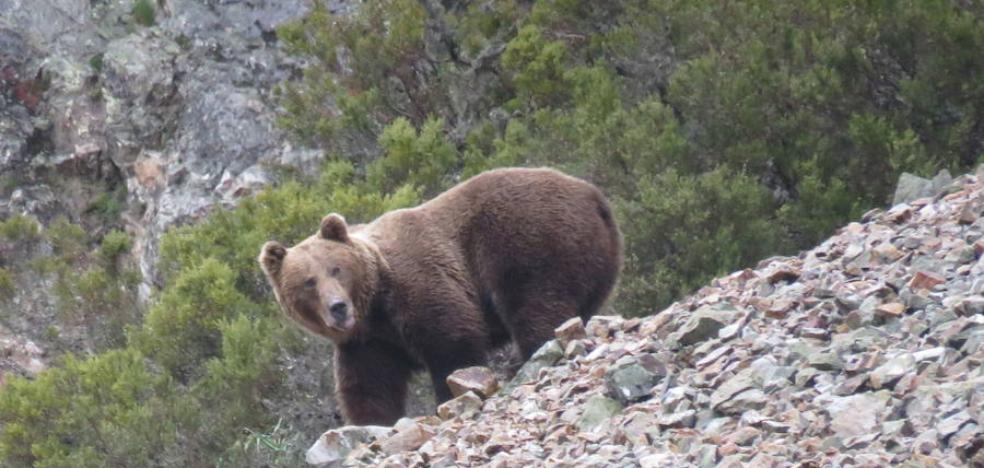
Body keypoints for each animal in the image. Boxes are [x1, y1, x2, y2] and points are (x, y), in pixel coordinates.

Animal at [258, 167, 620, 424]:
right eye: (308, 282)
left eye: (336, 269)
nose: (337, 307)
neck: (374, 305)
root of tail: (593, 195)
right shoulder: (368, 341)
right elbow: (368, 387)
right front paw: (371, 423)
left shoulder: (418, 284)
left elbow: (452, 342)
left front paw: (451, 396)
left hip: (529, 239)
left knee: (536, 305)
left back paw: (527, 357)